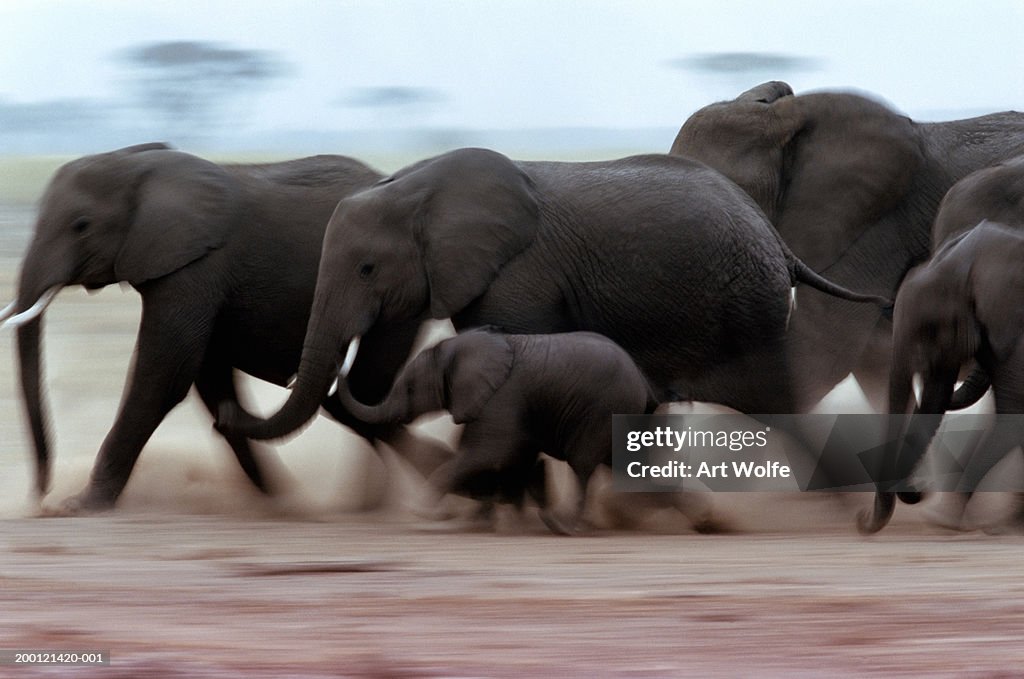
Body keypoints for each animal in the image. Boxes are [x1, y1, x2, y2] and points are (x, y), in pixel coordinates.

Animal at [4, 144, 446, 516]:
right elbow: (208, 380)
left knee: (364, 393)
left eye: (81, 225)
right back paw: (372, 503)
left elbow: (164, 375)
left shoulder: (196, 270)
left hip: (394, 306)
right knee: (360, 400)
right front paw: (276, 499)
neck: (138, 163)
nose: (40, 499)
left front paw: (80, 506)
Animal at [222, 148, 888, 444]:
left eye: (365, 269)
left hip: (748, 308)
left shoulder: (518, 277)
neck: (420, 184)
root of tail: (778, 241)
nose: (229, 414)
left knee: (777, 401)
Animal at [331, 329, 708, 536]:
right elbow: (512, 456)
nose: (343, 353)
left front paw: (426, 514)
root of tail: (644, 382)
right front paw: (489, 521)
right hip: (623, 415)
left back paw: (564, 525)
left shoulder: (502, 396)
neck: (460, 345)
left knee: (584, 465)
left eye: (409, 387)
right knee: (627, 464)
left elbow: (488, 452)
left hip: (604, 409)